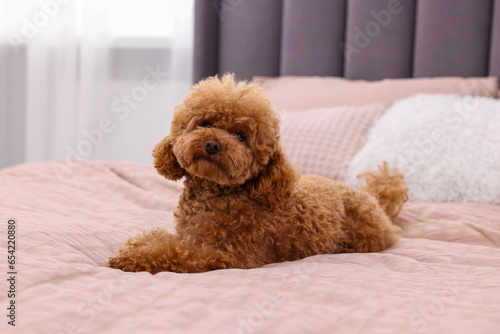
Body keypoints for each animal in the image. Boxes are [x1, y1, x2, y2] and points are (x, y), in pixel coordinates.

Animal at [107, 73, 408, 274]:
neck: (216, 194)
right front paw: (136, 246)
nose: (212, 144)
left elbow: (173, 251)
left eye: (240, 136)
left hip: (366, 236)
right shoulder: (189, 235)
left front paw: (133, 259)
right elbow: (157, 238)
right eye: (205, 123)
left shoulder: (226, 254)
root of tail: (374, 200)